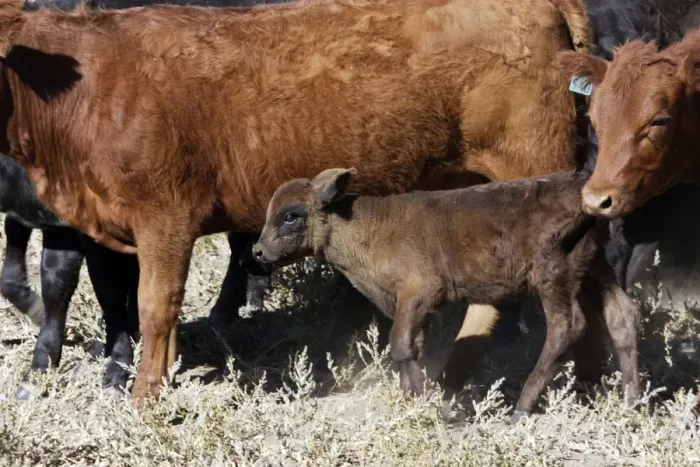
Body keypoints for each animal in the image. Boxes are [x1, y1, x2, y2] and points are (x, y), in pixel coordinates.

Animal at [252, 168, 641, 421]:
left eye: (291, 216)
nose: (258, 252)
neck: (365, 226)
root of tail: (582, 193)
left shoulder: (420, 291)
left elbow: (400, 346)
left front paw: (424, 400)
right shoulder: (412, 306)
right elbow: (413, 347)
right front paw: (417, 397)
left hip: (553, 275)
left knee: (567, 326)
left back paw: (520, 409)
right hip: (593, 269)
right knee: (621, 313)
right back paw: (632, 402)